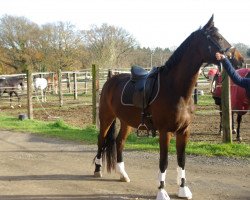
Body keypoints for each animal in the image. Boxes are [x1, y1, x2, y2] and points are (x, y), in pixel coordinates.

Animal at [92, 16, 238, 200]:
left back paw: (123, 174)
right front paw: (161, 191)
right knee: (101, 140)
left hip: (126, 122)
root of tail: (110, 80)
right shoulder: (165, 131)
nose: (237, 59)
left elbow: (182, 160)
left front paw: (183, 188)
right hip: (106, 117)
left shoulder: (184, 131)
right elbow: (164, 161)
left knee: (119, 142)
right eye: (217, 37)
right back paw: (97, 170)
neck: (176, 90)